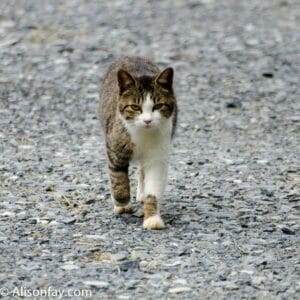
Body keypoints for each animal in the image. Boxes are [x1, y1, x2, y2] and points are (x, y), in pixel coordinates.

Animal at [99, 56, 177, 230]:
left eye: (158, 106)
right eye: (135, 107)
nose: (148, 120)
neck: (143, 134)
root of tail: (131, 56)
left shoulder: (157, 156)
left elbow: (153, 188)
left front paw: (152, 218)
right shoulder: (115, 149)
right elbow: (118, 179)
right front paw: (122, 203)